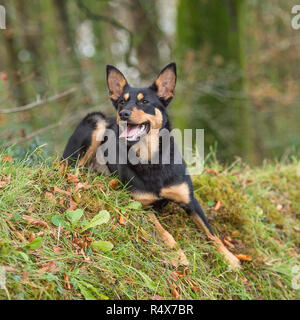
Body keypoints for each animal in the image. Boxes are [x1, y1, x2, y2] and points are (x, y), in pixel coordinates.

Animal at [62, 63, 240, 270]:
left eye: (145, 101)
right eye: (121, 102)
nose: (123, 114)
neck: (151, 158)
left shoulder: (190, 201)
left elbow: (211, 233)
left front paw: (229, 257)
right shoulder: (141, 205)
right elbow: (164, 232)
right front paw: (178, 255)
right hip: (95, 122)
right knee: (72, 167)